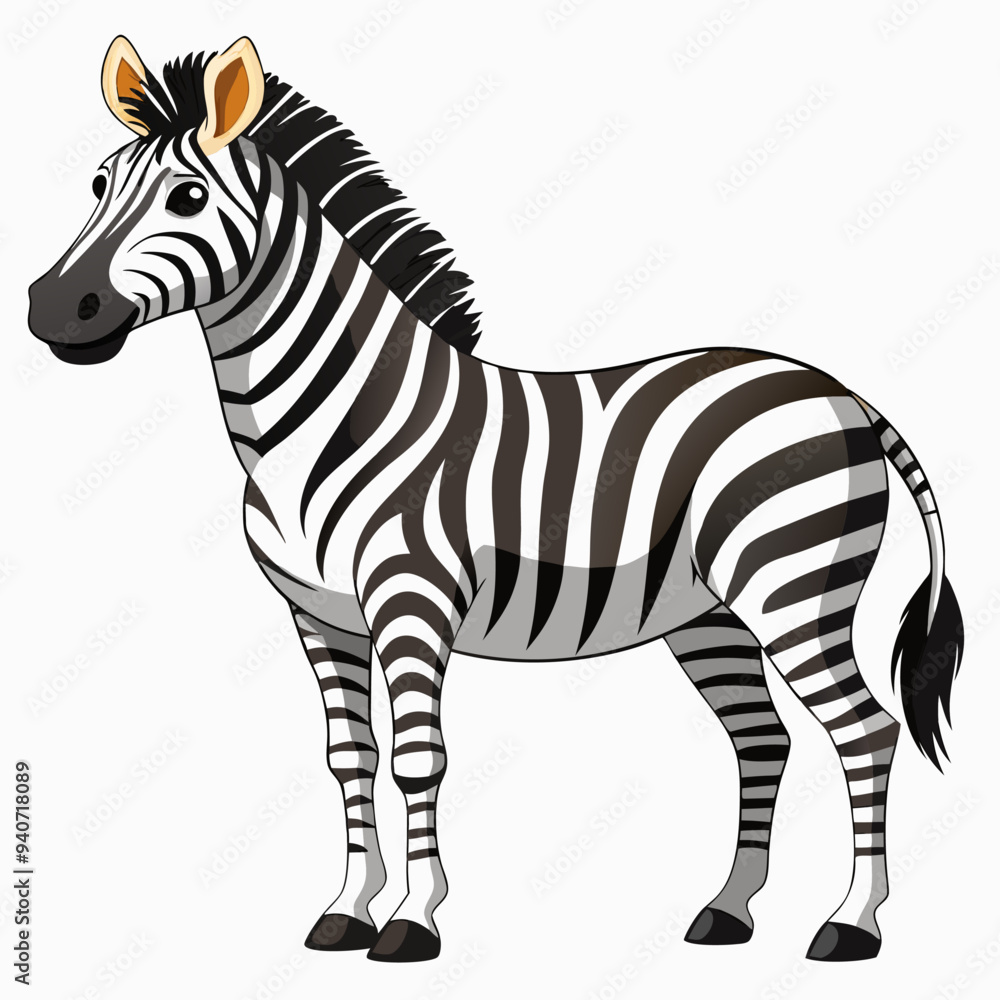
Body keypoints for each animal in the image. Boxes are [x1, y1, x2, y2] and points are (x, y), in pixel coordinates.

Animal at [28, 36, 964, 964]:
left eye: (187, 197)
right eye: (97, 184)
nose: (52, 308)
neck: (325, 417)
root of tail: (842, 392)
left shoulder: (411, 600)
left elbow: (417, 759)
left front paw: (412, 921)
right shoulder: (318, 615)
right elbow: (348, 757)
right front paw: (345, 912)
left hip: (793, 588)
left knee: (865, 732)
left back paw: (851, 924)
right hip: (709, 614)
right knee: (763, 739)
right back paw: (728, 911)